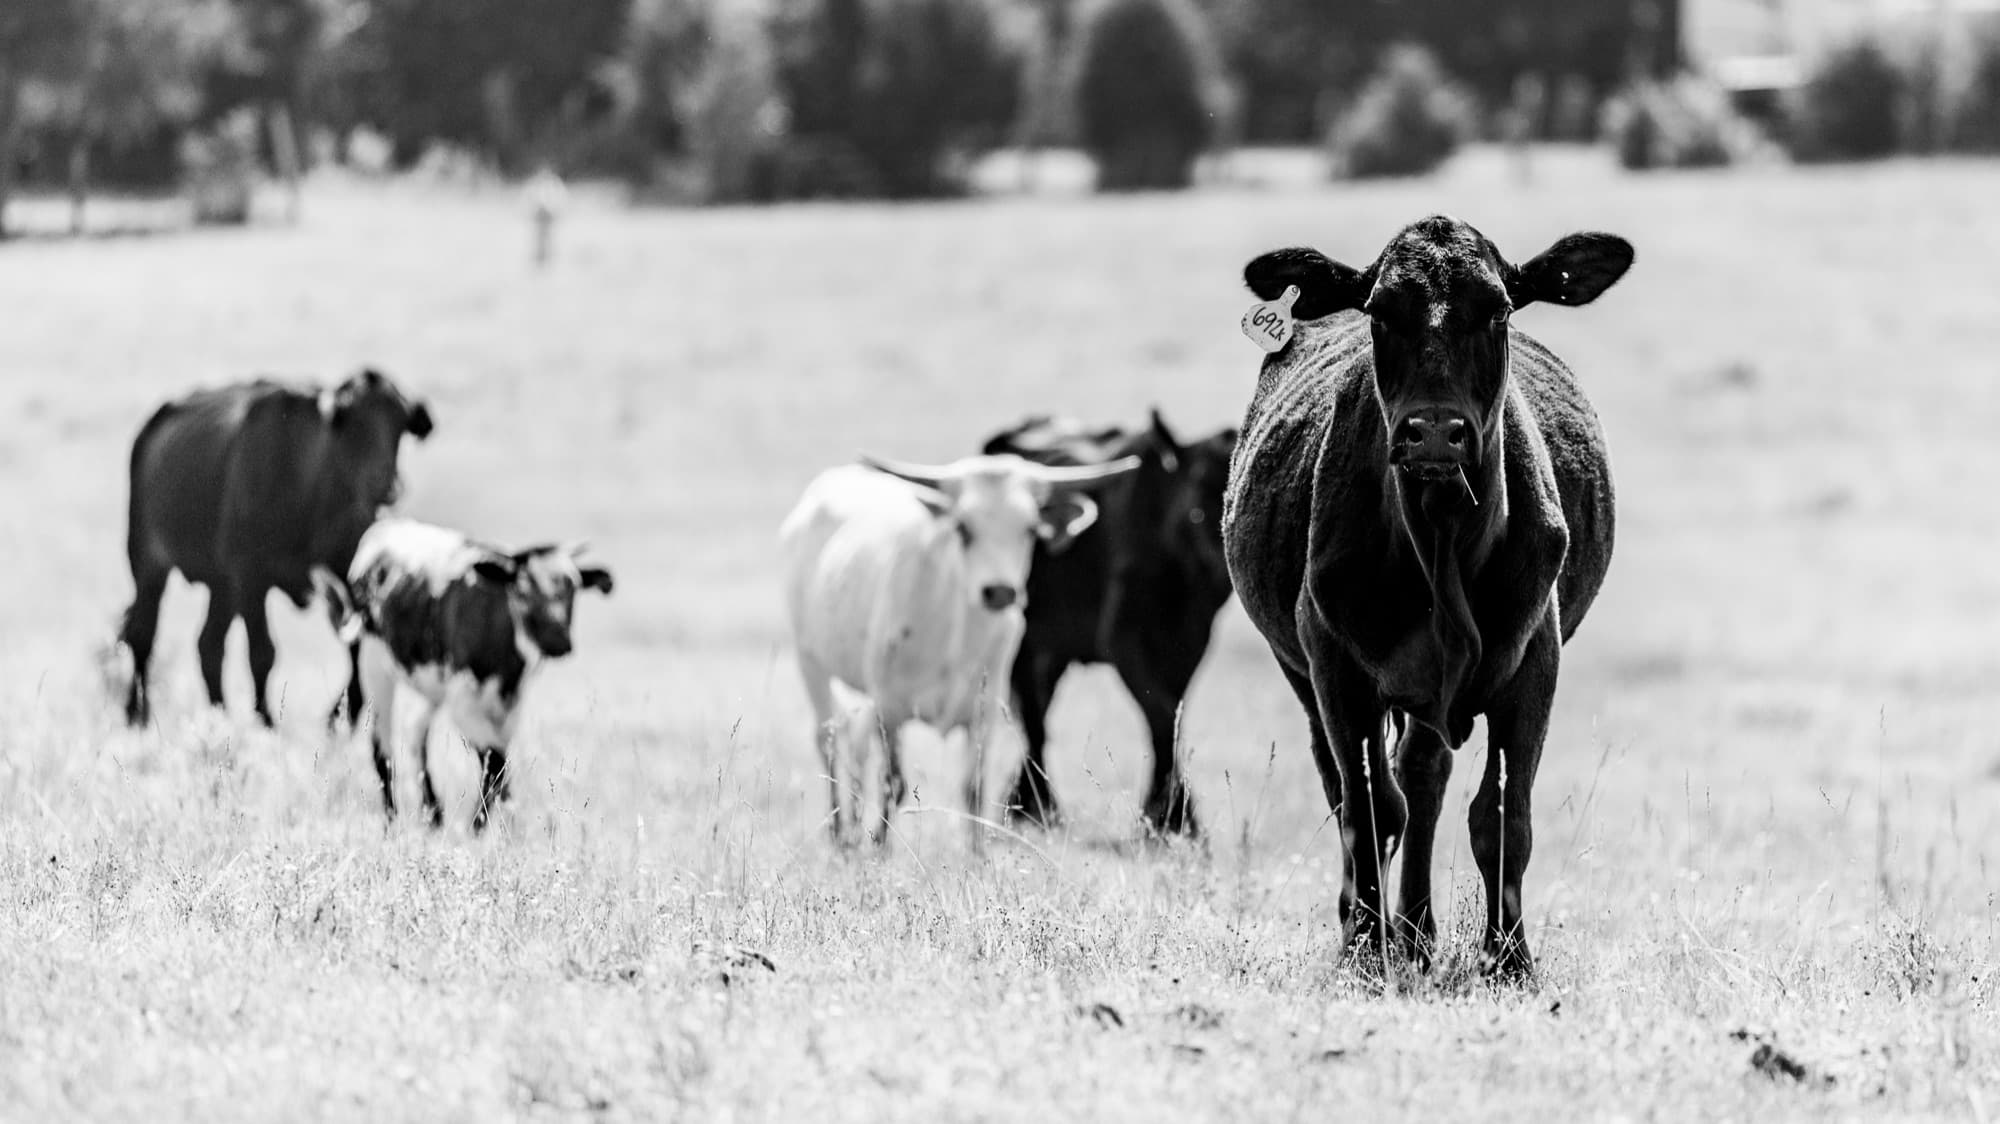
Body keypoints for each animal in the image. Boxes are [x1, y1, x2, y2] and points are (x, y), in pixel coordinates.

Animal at [118, 369, 433, 727]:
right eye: (354, 426)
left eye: (399, 426)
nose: (386, 484)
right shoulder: (251, 580)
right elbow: (262, 651)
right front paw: (266, 720)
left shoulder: (345, 576)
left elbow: (355, 645)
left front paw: (343, 714)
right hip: (149, 567)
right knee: (142, 635)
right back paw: (136, 713)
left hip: (220, 587)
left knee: (208, 644)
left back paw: (219, 713)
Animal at [313, 518, 613, 833]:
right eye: (521, 590)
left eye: (573, 588)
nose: (558, 642)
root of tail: (385, 528)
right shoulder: (464, 705)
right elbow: (495, 764)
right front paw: (477, 827)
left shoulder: (509, 709)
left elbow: (500, 768)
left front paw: (504, 825)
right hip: (372, 666)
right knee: (380, 747)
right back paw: (392, 820)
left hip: (429, 684)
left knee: (413, 733)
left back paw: (434, 813)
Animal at [779, 453, 1140, 850]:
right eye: (963, 528)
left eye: (1030, 529)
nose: (1000, 592)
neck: (957, 629)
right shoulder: (889, 707)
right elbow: (893, 782)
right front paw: (880, 850)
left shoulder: (985, 711)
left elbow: (974, 789)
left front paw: (977, 854)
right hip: (810, 659)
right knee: (827, 739)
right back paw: (840, 832)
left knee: (855, 740)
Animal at [981, 409, 1237, 837]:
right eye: (1198, 502)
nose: (1224, 563)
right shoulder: (1122, 638)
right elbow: (1160, 715)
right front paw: (1171, 818)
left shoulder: (1191, 641)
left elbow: (1173, 713)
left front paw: (1174, 818)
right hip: (1023, 641)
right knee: (1033, 717)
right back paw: (1035, 809)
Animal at [1224, 215, 1631, 978]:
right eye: (1381, 312)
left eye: (1498, 309)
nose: (1435, 432)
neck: (1442, 541)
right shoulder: (1333, 661)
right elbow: (1369, 809)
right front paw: (1366, 945)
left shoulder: (1535, 657)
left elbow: (1501, 815)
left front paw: (1510, 956)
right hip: (1301, 668)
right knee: (1356, 790)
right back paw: (1382, 927)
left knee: (1425, 773)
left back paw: (1418, 931)